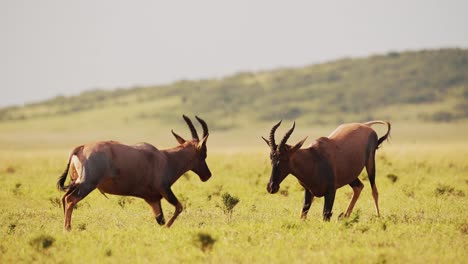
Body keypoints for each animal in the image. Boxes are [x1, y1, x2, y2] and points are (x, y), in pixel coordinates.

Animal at [57, 114, 212, 230]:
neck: (164, 158)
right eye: (203, 152)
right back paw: (67, 229)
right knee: (70, 200)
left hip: (76, 182)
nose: (207, 175)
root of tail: (80, 148)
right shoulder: (164, 189)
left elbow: (160, 219)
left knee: (64, 198)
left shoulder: (152, 199)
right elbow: (179, 207)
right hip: (87, 184)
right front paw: (168, 228)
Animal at [264, 121, 392, 221]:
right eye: (271, 158)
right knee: (359, 186)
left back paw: (378, 217)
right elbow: (303, 215)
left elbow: (325, 216)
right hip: (350, 175)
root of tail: (366, 125)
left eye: (284, 158)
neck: (314, 157)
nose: (271, 187)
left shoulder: (331, 192)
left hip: (370, 162)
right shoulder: (308, 191)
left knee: (374, 191)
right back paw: (344, 216)